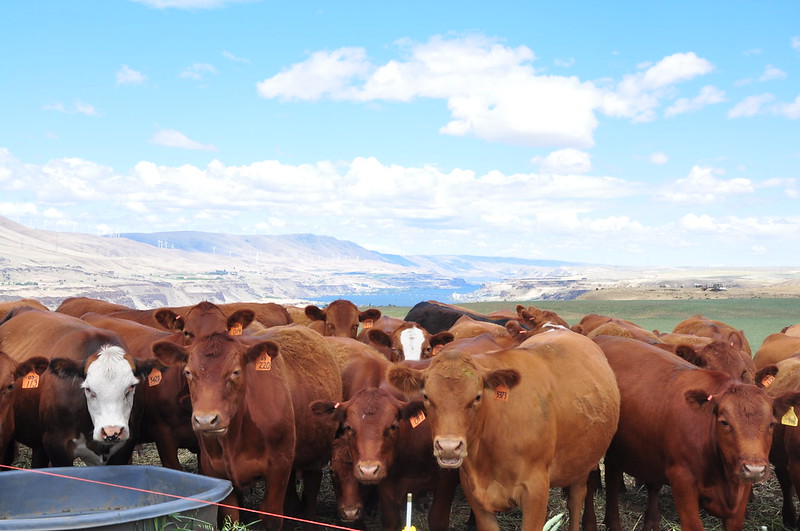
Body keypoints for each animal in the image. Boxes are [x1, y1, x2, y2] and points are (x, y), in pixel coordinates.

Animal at [386, 330, 620, 528]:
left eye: (477, 397)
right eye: (426, 396)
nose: (449, 447)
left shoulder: (535, 493)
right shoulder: (475, 494)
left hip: (583, 462)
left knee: (576, 500)